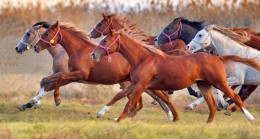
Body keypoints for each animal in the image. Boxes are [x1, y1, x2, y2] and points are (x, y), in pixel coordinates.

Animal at [32, 21, 177, 119]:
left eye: (46, 33)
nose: (35, 47)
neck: (79, 50)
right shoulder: (74, 75)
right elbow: (49, 80)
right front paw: (34, 101)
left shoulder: (79, 75)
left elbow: (58, 78)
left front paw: (56, 100)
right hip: (139, 84)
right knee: (150, 99)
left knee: (152, 98)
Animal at [91, 26, 260, 122]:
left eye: (105, 41)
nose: (93, 55)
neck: (143, 59)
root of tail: (217, 57)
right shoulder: (136, 84)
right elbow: (118, 95)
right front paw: (100, 113)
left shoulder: (141, 85)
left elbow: (129, 103)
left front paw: (119, 120)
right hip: (204, 86)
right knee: (212, 106)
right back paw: (207, 124)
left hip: (221, 82)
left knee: (235, 96)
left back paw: (249, 118)